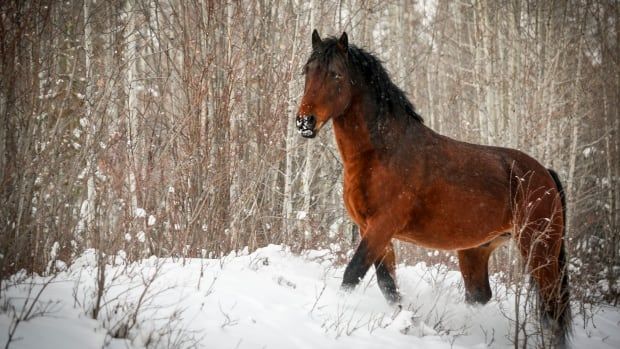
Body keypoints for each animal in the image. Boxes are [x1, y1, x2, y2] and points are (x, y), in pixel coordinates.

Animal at [296, 29, 572, 342]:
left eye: (336, 74)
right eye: (307, 70)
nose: (305, 122)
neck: (383, 152)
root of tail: (545, 173)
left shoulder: (382, 226)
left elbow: (353, 273)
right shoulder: (372, 230)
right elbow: (388, 286)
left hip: (540, 250)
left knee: (552, 309)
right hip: (476, 251)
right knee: (481, 295)